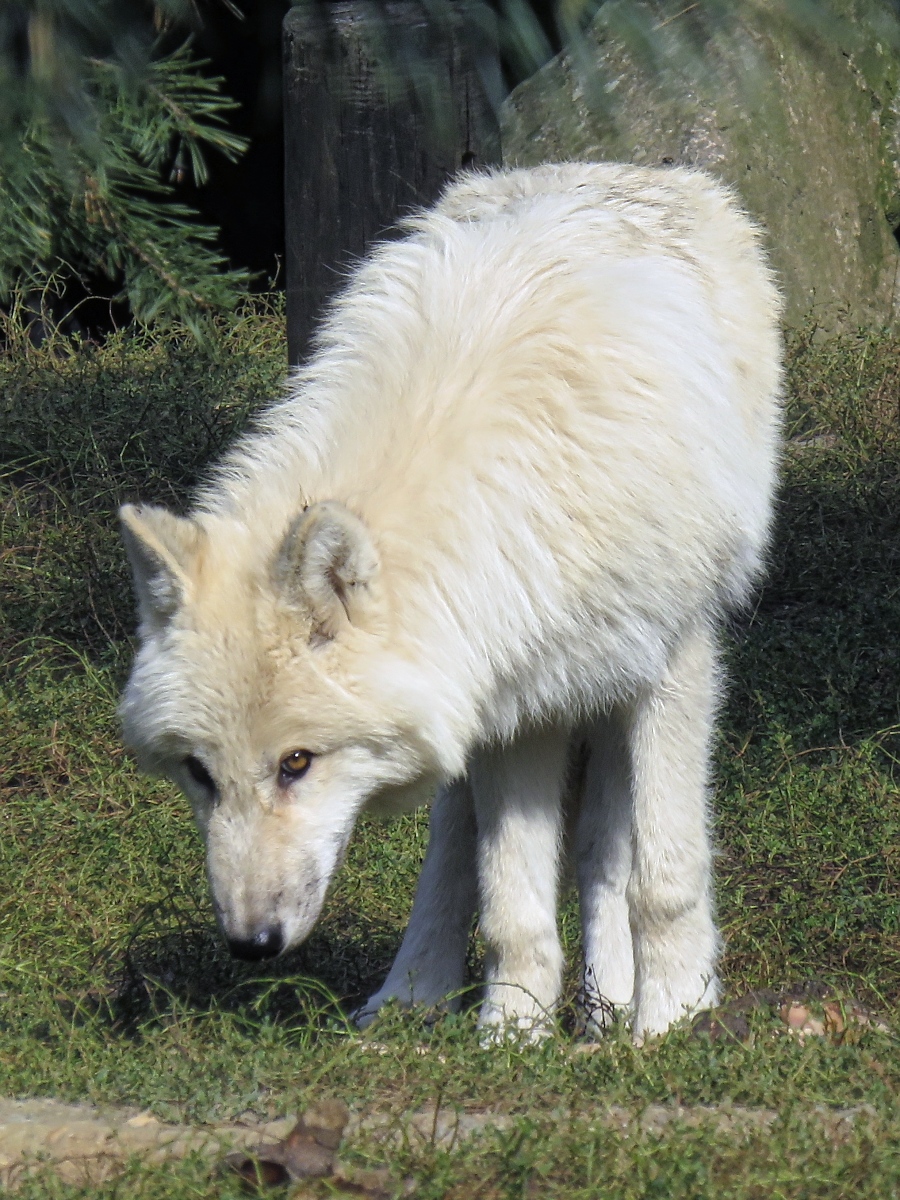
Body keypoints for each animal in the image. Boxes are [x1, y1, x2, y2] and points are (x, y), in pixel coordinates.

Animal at [120, 162, 782, 1041]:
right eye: (198, 773)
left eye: (297, 763)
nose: (251, 943)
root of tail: (629, 167)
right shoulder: (518, 707)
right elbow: (511, 907)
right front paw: (510, 1036)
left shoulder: (673, 663)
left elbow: (662, 878)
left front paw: (670, 1020)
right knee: (457, 854)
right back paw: (414, 996)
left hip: (609, 686)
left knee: (606, 849)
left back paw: (609, 1010)